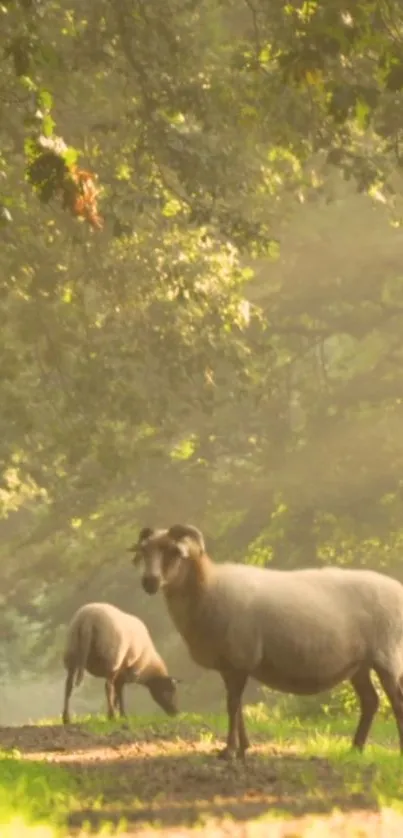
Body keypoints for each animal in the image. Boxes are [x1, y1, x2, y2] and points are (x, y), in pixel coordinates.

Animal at [130, 528, 403, 764]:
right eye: (144, 551)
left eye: (174, 551)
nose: (149, 582)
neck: (207, 586)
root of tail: (398, 588)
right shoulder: (231, 665)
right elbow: (237, 706)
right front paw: (243, 748)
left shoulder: (239, 659)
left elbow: (232, 706)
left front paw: (229, 751)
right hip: (360, 664)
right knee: (371, 701)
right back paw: (355, 748)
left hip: (388, 656)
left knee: (396, 700)